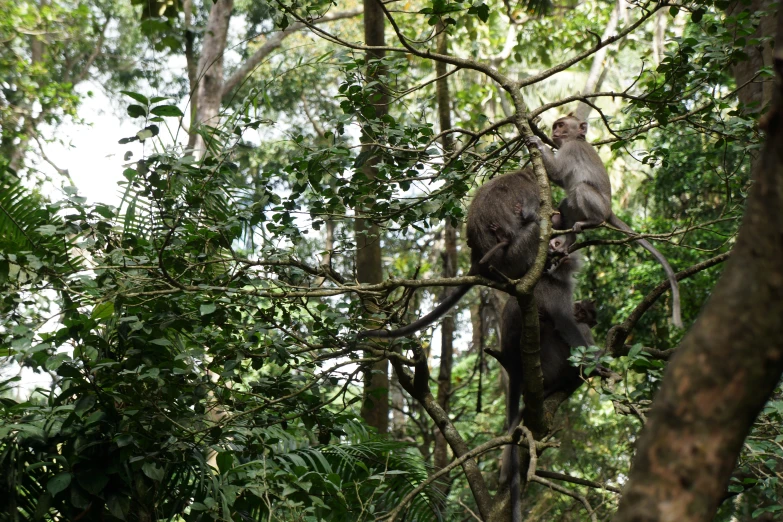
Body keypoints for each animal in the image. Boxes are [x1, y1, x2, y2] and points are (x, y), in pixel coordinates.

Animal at [528, 113, 688, 328]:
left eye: (560, 125)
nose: (554, 132)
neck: (576, 139)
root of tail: (609, 210)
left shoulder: (570, 149)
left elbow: (557, 172)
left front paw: (537, 143)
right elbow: (561, 180)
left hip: (599, 207)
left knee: (581, 189)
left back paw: (593, 222)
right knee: (568, 201)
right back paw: (567, 242)